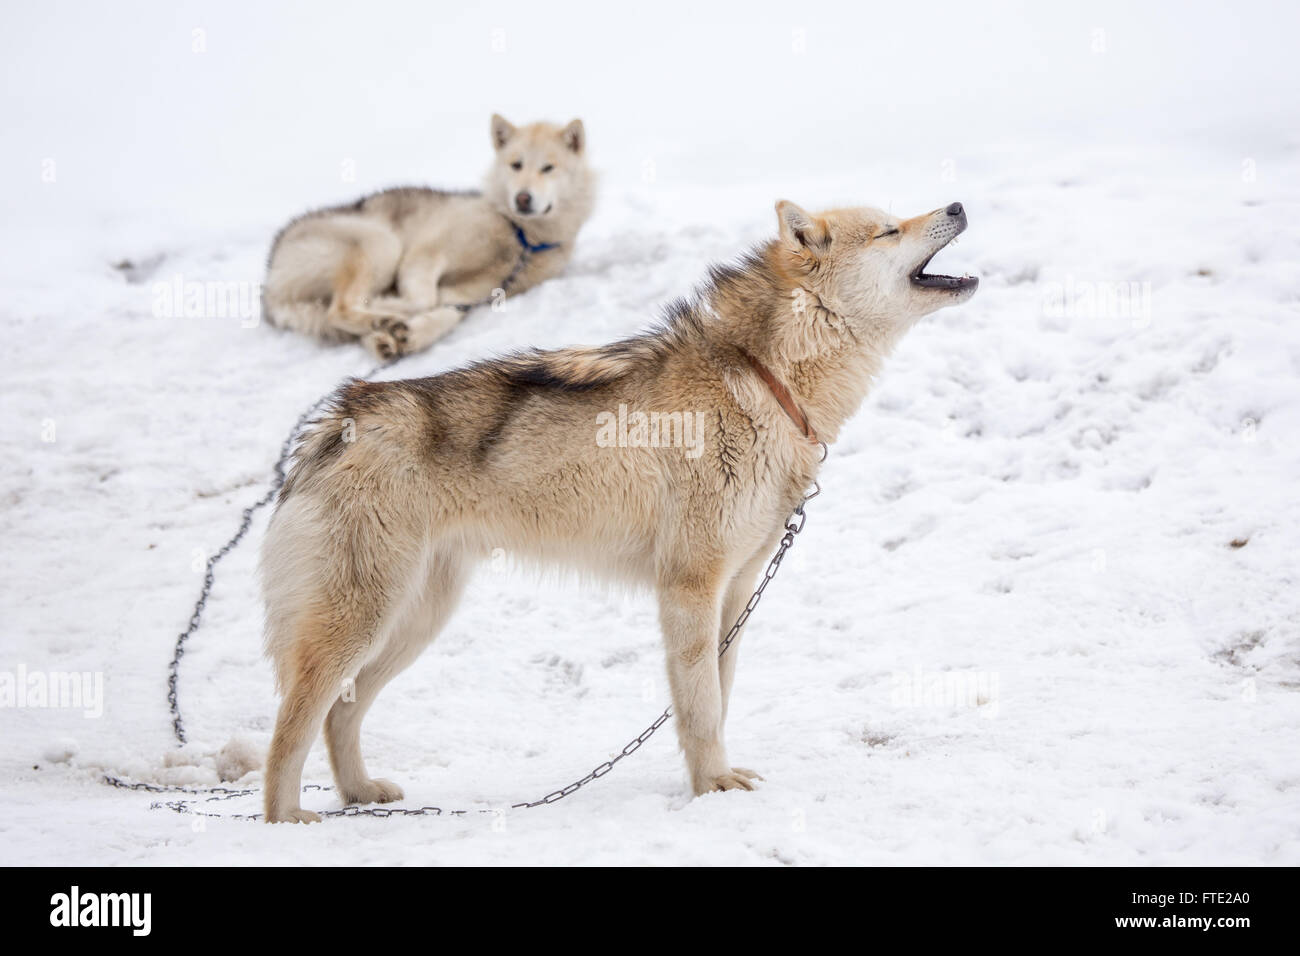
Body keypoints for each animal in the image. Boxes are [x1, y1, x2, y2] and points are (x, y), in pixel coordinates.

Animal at [258, 197, 977, 816]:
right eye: (888, 230)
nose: (958, 205)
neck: (765, 379)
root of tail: (338, 420)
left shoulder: (735, 592)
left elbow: (716, 698)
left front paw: (713, 782)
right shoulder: (688, 586)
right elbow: (702, 706)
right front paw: (713, 789)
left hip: (415, 620)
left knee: (340, 712)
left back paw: (360, 795)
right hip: (363, 620)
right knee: (290, 726)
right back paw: (289, 822)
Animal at [261, 115, 595, 358]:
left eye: (548, 168)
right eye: (516, 165)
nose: (523, 198)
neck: (520, 236)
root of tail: (271, 277)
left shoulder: (476, 292)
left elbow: (446, 312)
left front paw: (408, 334)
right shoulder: (425, 255)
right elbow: (424, 299)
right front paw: (391, 309)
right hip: (380, 243)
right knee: (338, 309)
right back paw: (380, 318)